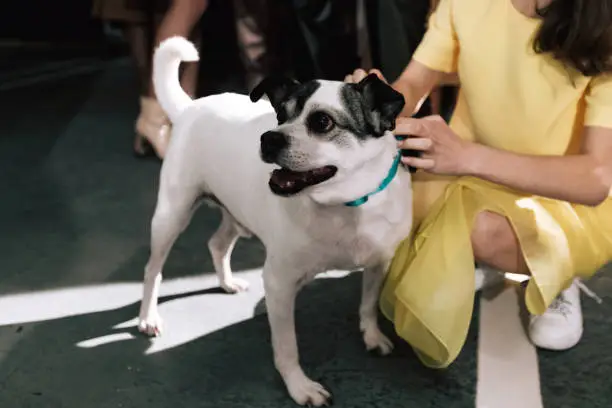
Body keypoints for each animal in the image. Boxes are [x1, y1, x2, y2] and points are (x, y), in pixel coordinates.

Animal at [137, 37, 416, 404]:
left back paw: (227, 281)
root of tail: (189, 107)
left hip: (235, 213)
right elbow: (287, 347)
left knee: (217, 243)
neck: (345, 206)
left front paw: (371, 335)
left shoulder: (378, 264)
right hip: (172, 215)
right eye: (281, 114)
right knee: (153, 270)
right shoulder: (279, 285)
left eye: (322, 122)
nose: (269, 137)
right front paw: (300, 386)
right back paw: (148, 317)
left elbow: (368, 304)